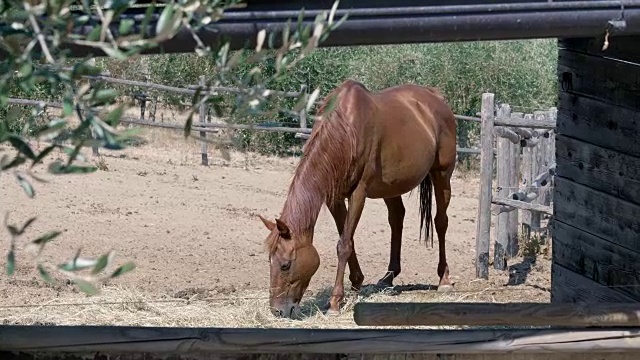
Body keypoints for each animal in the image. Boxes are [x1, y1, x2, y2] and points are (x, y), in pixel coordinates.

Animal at [258, 79, 458, 318]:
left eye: (286, 265)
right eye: (269, 261)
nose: (277, 311)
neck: (345, 130)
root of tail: (435, 97)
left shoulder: (358, 193)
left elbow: (344, 244)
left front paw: (335, 302)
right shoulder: (333, 197)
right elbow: (347, 238)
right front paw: (356, 282)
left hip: (442, 174)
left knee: (441, 222)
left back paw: (444, 279)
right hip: (391, 186)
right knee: (397, 218)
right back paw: (388, 278)